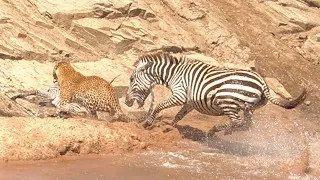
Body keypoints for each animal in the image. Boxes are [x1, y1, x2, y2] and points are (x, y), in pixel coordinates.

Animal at [124, 52, 306, 135]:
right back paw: (225, 131)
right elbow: (179, 115)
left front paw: (148, 123)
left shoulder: (180, 94)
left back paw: (215, 130)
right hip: (250, 107)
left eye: (131, 79)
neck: (174, 73)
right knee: (246, 124)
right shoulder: (189, 102)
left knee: (237, 121)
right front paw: (170, 127)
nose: (126, 102)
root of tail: (262, 82)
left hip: (228, 102)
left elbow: (159, 106)